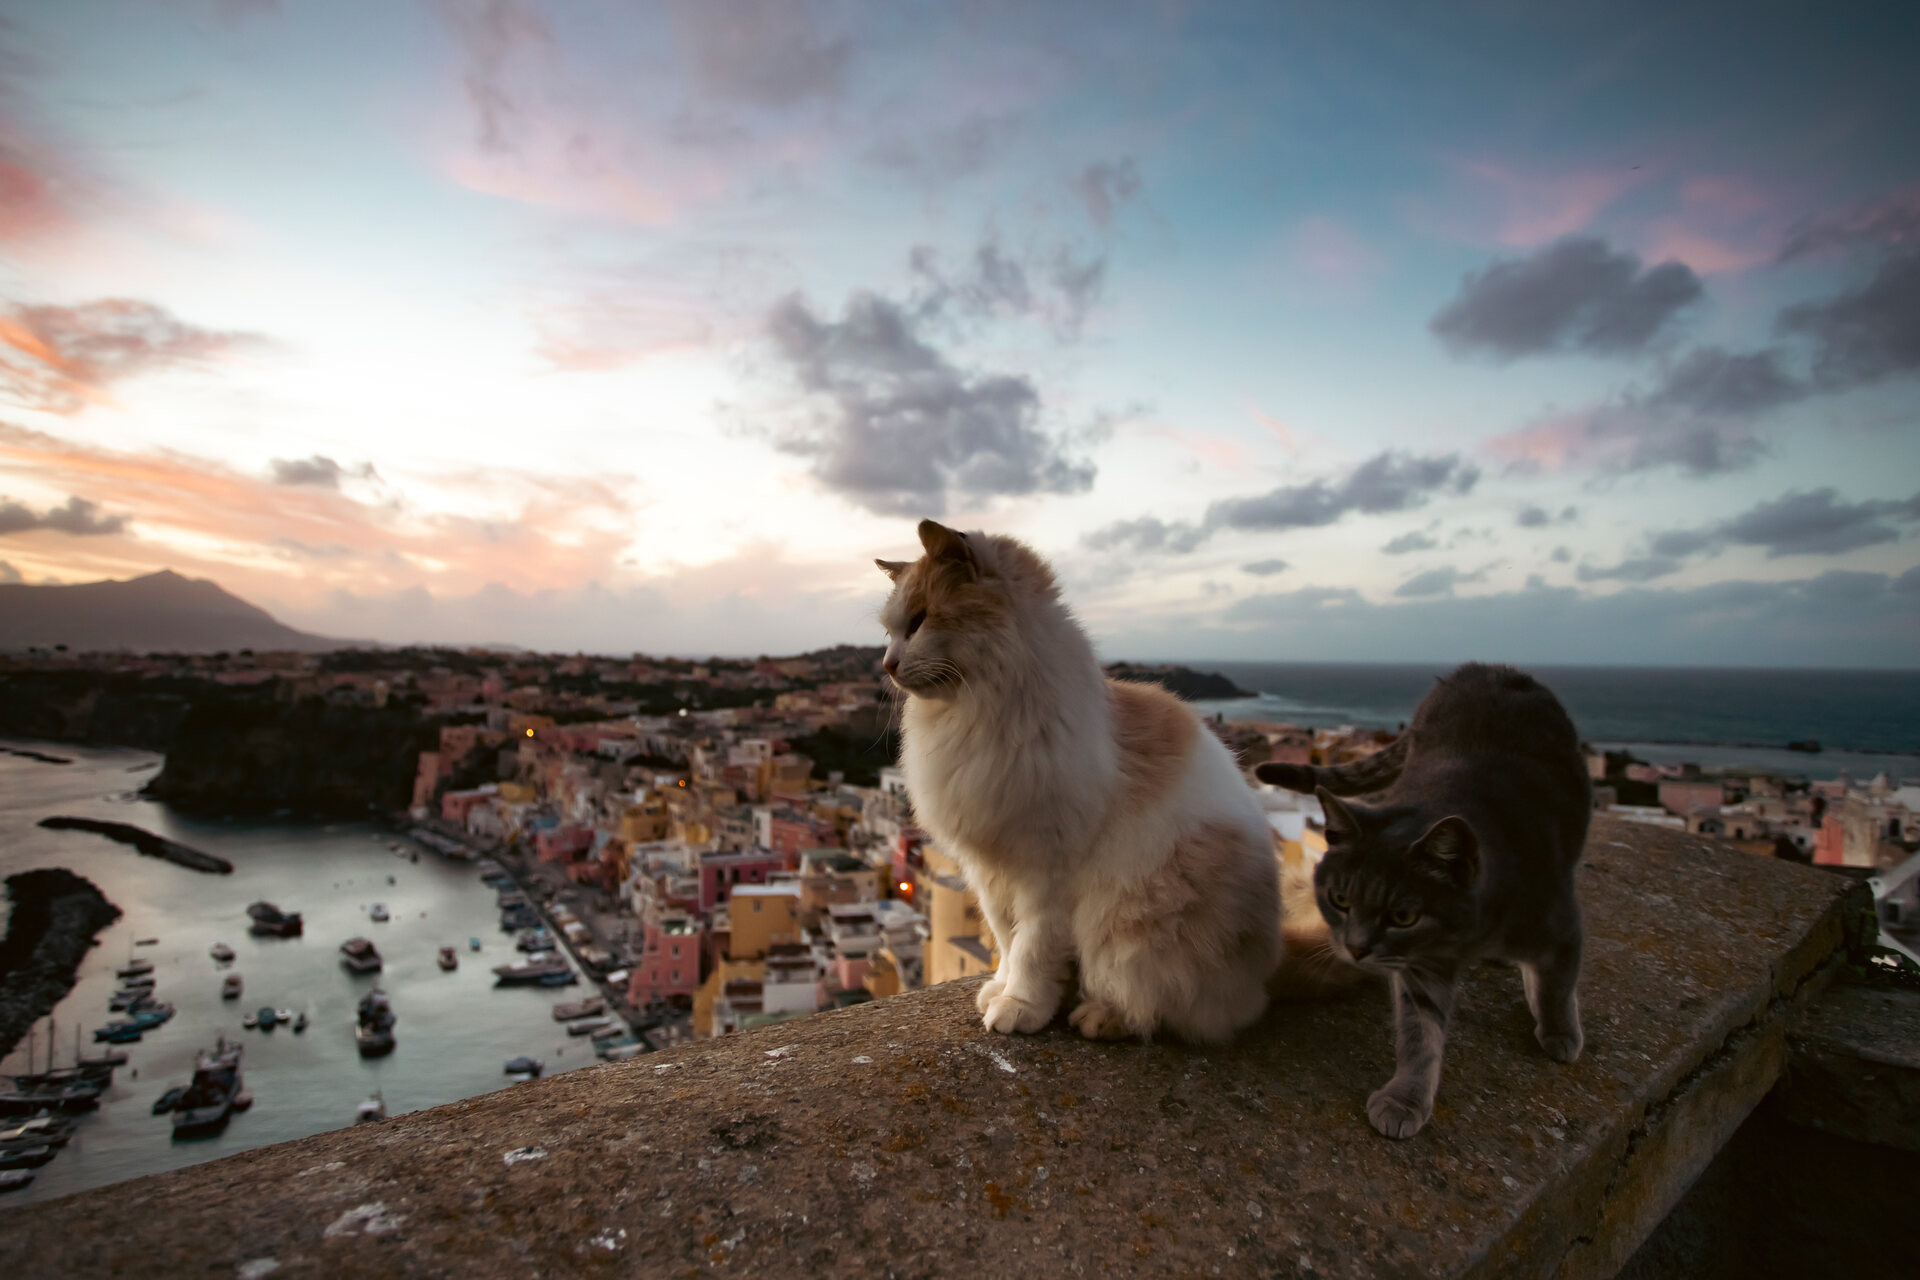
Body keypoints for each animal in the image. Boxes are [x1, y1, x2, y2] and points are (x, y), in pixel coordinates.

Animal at [1251, 667, 1582, 1136]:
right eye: (1339, 899)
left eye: (1403, 916)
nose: (1355, 949)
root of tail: (1483, 668)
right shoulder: (1419, 969)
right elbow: (1419, 1034)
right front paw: (1405, 1098)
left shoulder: (1560, 924)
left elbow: (1557, 983)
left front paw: (1558, 1030)